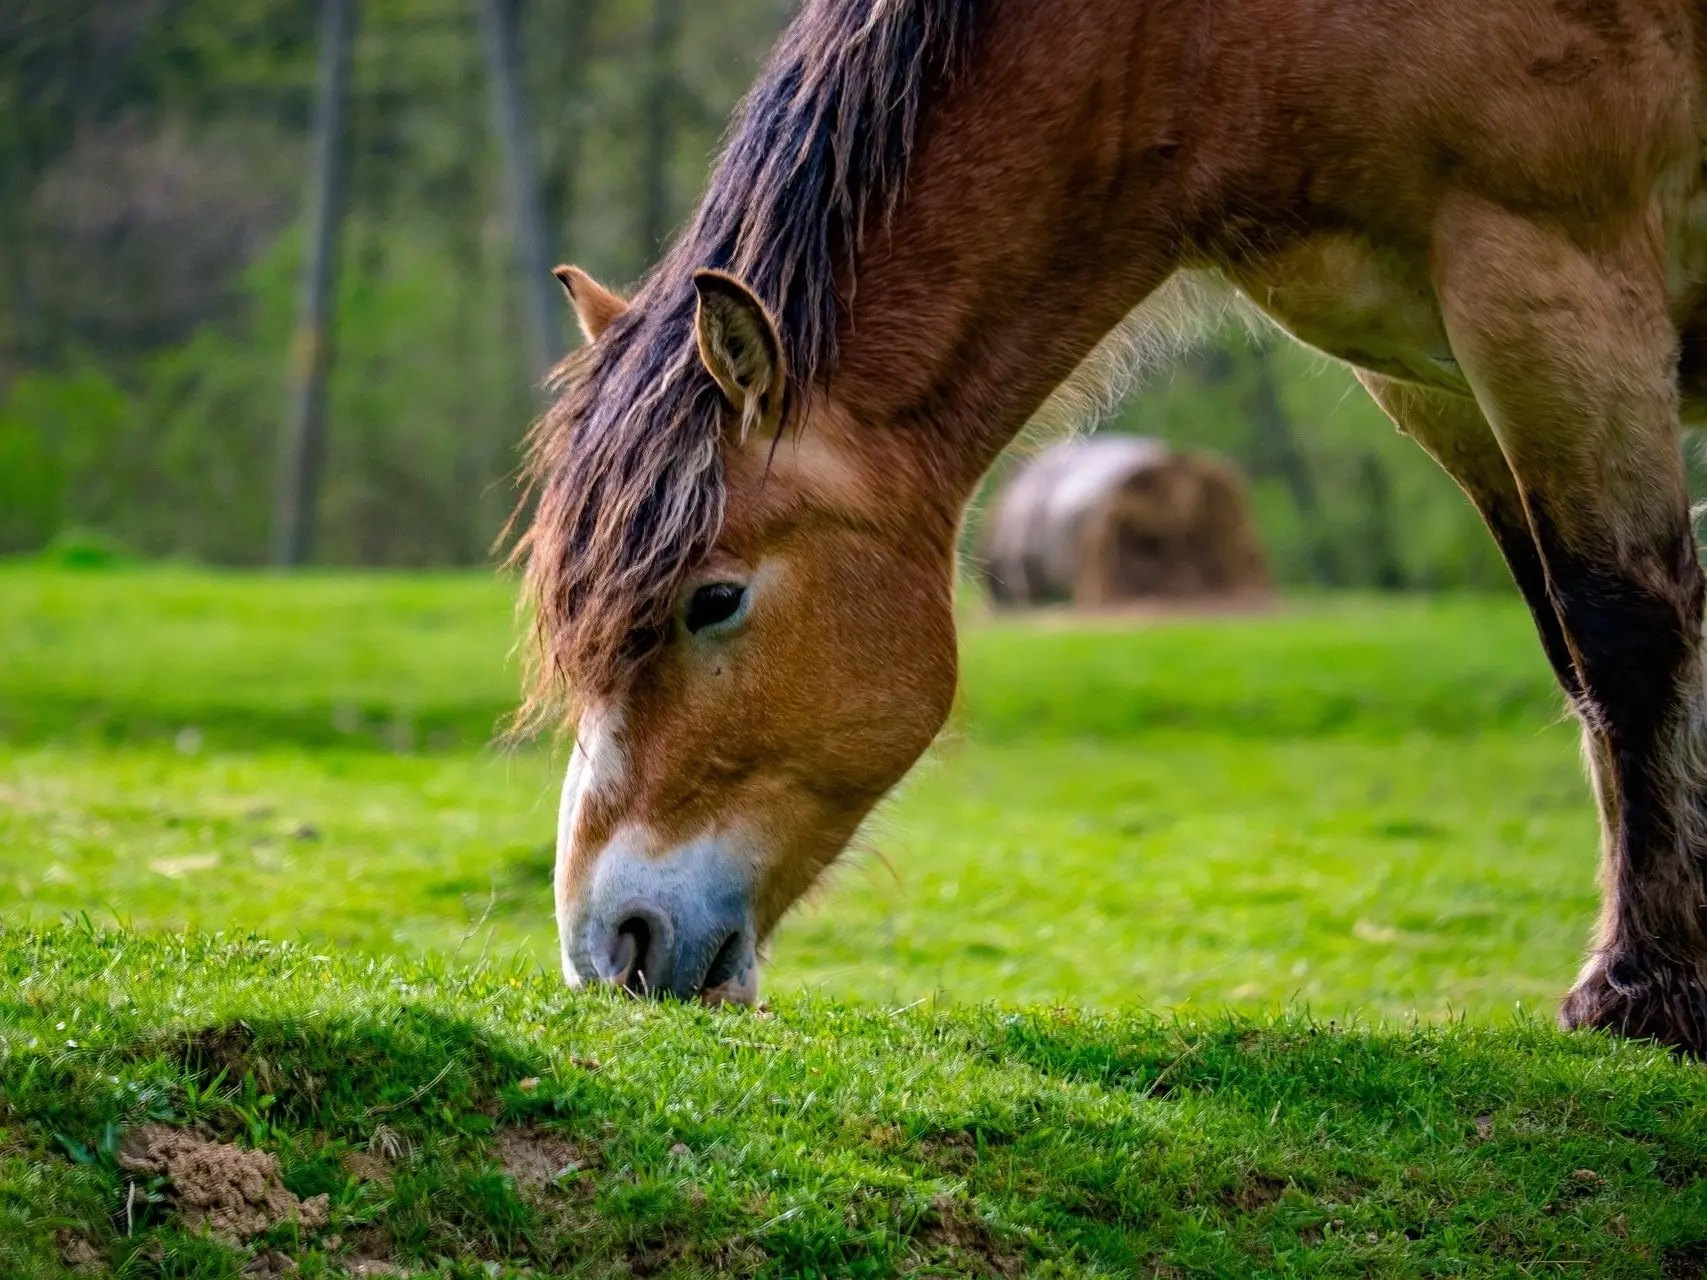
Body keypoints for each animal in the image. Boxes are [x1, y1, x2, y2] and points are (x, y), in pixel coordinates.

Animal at [518, 0, 1707, 1051]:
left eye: (714, 599)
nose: (605, 945)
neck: (1220, 39)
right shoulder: (1432, 372)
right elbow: (1572, 652)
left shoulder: (1550, 289)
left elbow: (1626, 632)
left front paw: (1643, 992)